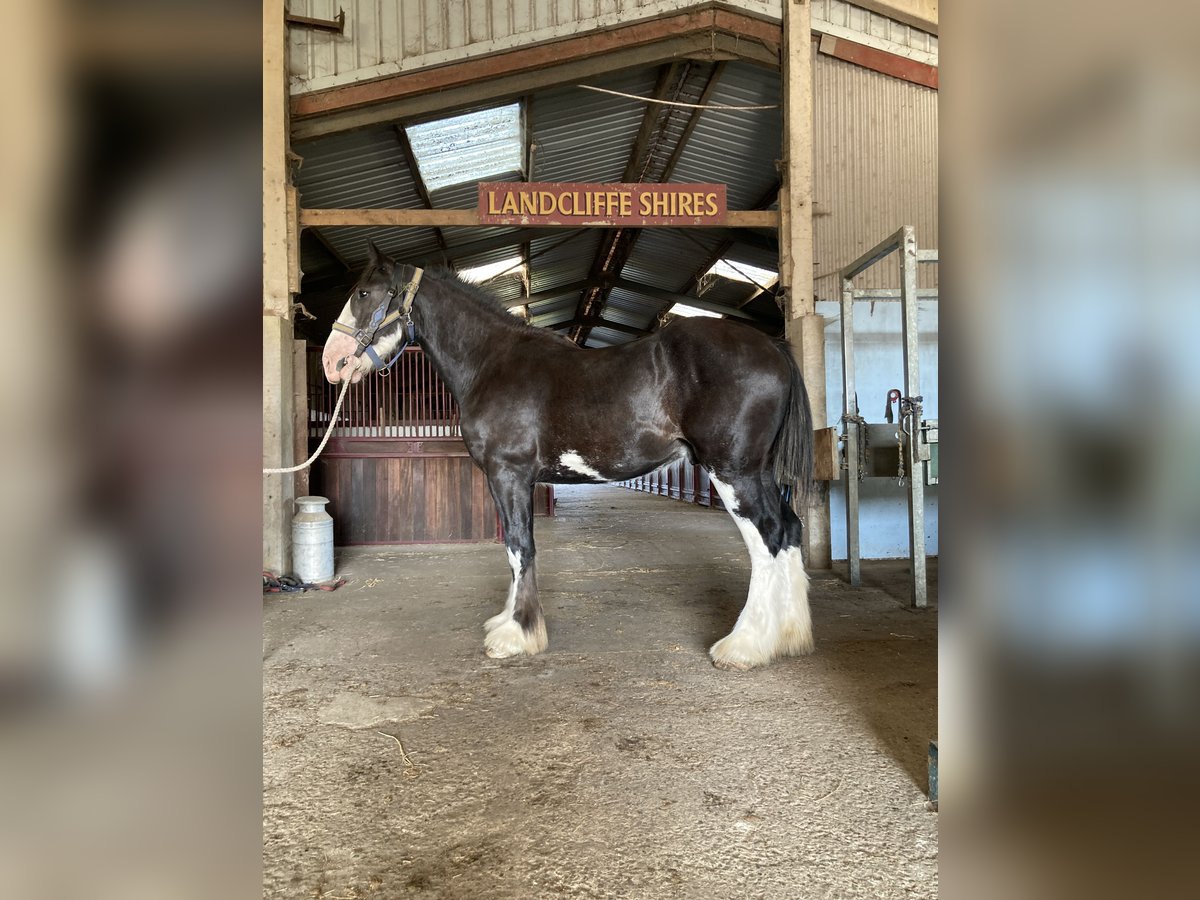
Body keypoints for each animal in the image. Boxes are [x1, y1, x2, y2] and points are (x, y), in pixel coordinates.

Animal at [326, 243, 816, 672]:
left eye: (364, 293)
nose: (332, 364)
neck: (492, 362)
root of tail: (772, 346)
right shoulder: (508, 480)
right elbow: (512, 548)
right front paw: (507, 621)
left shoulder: (509, 474)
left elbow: (521, 546)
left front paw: (517, 635)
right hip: (758, 471)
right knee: (790, 528)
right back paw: (789, 637)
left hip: (733, 470)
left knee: (768, 536)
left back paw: (744, 646)